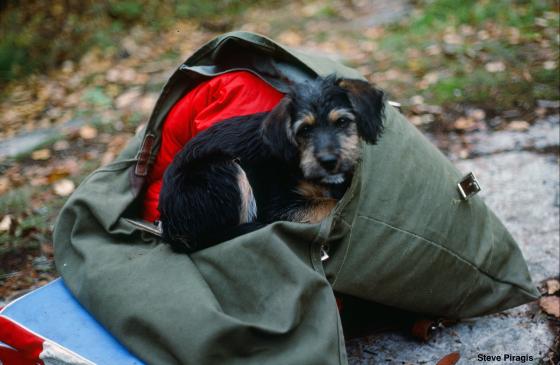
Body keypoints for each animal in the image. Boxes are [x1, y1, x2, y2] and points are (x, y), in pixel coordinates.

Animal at [160, 75, 382, 252]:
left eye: (342, 122)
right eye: (304, 130)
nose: (329, 161)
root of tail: (171, 229)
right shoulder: (279, 207)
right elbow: (330, 204)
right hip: (222, 172)